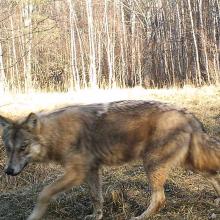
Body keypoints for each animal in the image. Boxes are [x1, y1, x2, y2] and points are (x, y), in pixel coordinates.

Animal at [0, 100, 219, 220]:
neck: (57, 133)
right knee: (213, 175)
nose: (8, 171)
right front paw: (96, 216)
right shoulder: (91, 171)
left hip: (152, 164)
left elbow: (44, 193)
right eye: (8, 149)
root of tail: (188, 114)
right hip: (188, 163)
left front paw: (34, 216)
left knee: (160, 199)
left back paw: (140, 217)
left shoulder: (76, 173)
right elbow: (96, 197)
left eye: (23, 147)